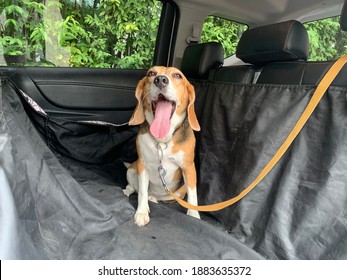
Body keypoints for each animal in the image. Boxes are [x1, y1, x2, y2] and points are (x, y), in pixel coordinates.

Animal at [124, 65, 201, 225]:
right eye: (151, 73)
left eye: (178, 75)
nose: (160, 80)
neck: (162, 140)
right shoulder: (142, 164)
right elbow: (142, 192)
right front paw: (141, 212)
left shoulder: (189, 168)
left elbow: (193, 196)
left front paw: (194, 216)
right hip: (132, 169)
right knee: (134, 188)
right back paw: (129, 192)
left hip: (178, 192)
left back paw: (153, 198)